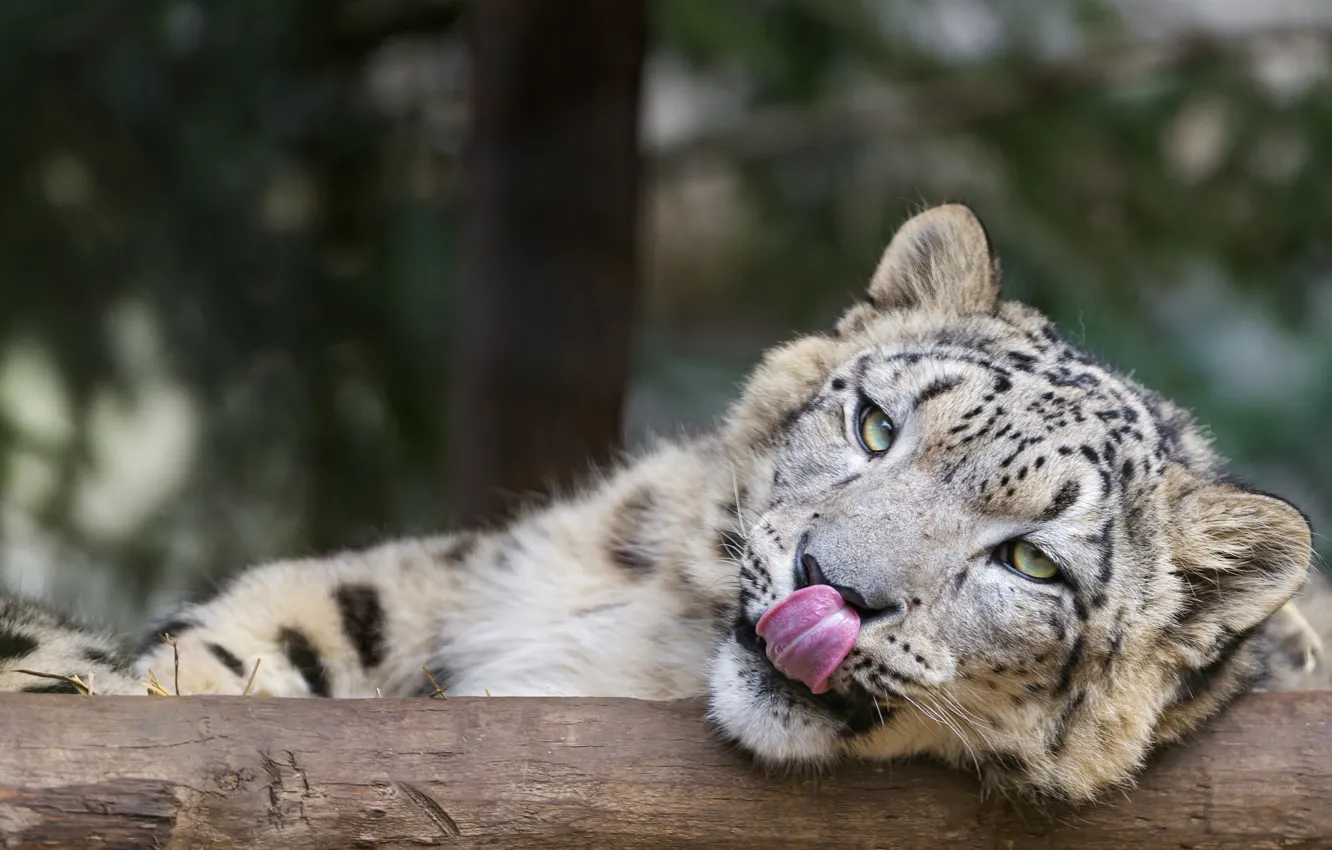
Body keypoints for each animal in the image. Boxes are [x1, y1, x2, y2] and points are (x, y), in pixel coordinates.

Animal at [1, 204, 1324, 802]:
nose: (835, 586)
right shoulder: (477, 564)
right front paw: (142, 679)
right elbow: (312, 608)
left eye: (1035, 564)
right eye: (876, 425)